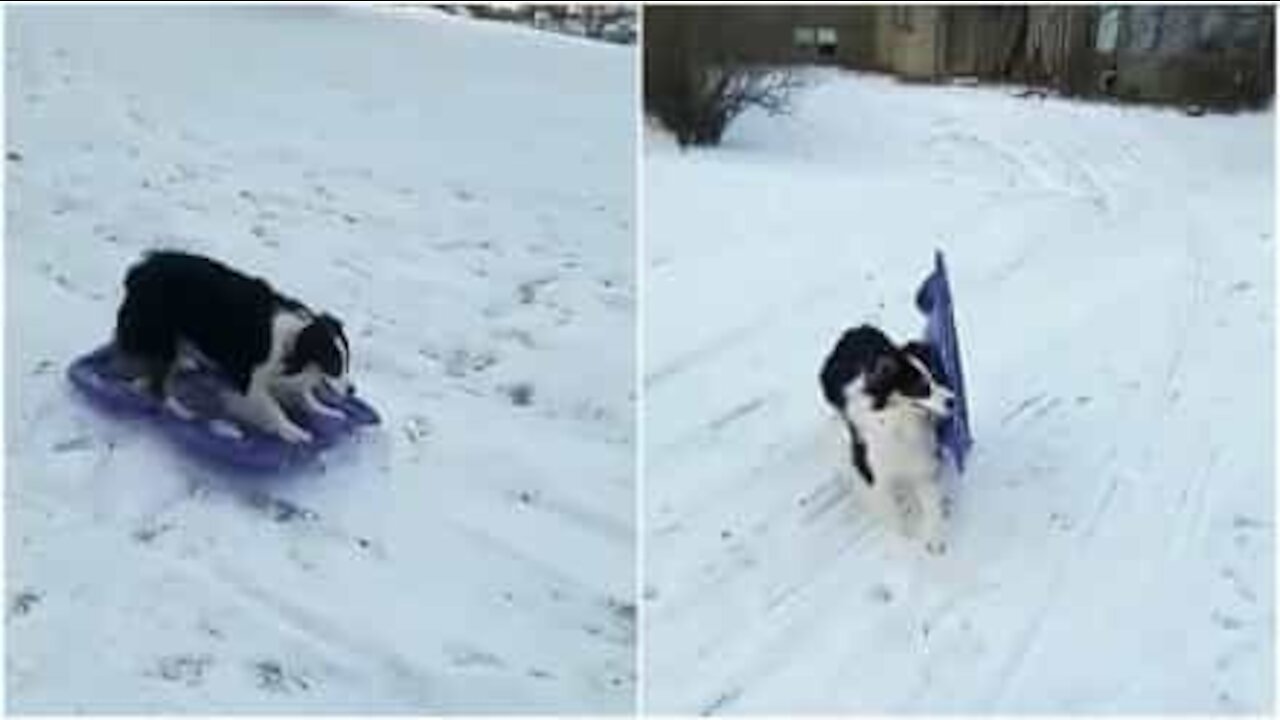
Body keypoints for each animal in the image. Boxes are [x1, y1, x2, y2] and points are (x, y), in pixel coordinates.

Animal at [114, 252, 350, 443]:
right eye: (335, 364)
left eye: (348, 361)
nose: (352, 390)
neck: (295, 340)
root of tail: (139, 269)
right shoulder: (247, 380)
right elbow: (273, 407)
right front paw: (292, 431)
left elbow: (305, 394)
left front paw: (325, 410)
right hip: (163, 334)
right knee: (159, 383)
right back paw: (180, 410)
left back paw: (185, 362)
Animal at [824, 322, 957, 550]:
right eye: (921, 387)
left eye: (937, 376)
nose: (953, 400)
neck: (899, 421)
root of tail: (854, 329)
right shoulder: (873, 470)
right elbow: (891, 514)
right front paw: (903, 541)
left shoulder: (921, 460)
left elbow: (930, 502)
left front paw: (934, 538)